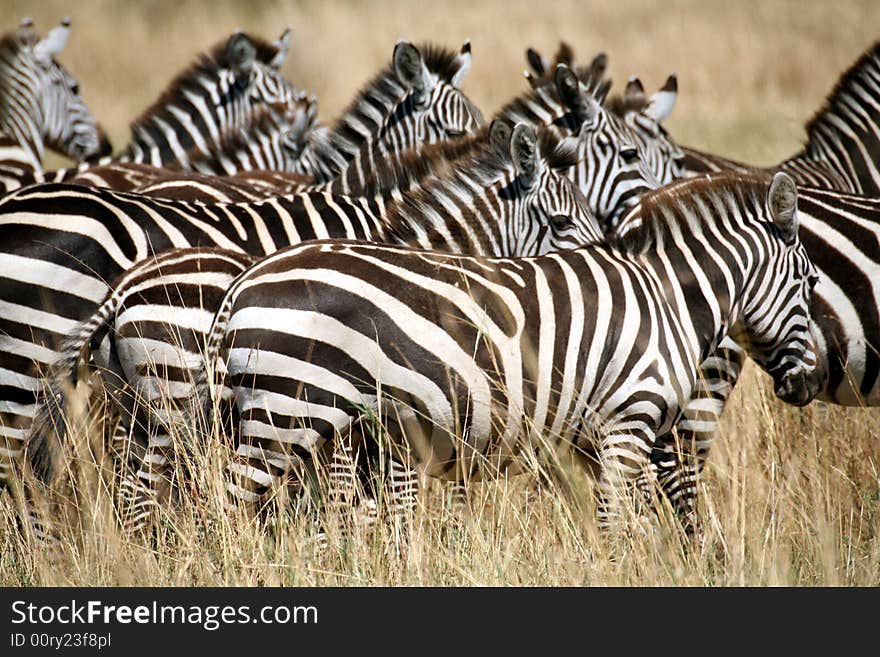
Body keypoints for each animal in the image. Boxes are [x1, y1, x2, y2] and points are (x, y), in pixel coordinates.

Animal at [191, 170, 820, 532]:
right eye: (811, 283)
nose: (809, 385)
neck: (666, 298)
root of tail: (244, 282)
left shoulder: (593, 438)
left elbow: (621, 524)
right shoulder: (628, 421)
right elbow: (618, 526)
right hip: (284, 415)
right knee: (221, 509)